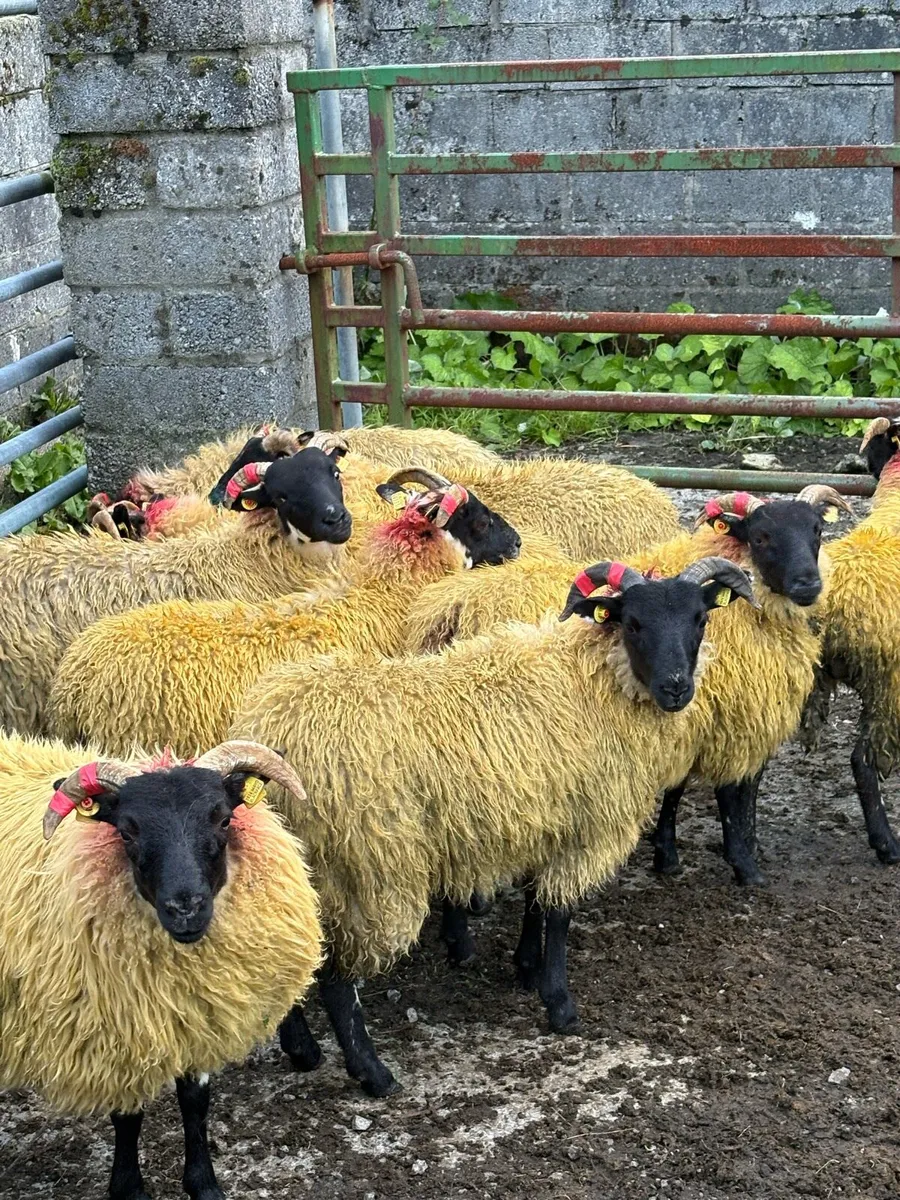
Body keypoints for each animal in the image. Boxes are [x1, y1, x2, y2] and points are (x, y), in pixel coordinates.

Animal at [0, 735, 321, 1200]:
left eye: (224, 820)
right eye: (126, 831)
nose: (185, 908)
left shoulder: (199, 1018)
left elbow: (195, 1103)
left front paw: (203, 1184)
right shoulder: (116, 1035)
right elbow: (127, 1117)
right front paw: (129, 1188)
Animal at [226, 555, 756, 1096]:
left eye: (700, 619)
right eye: (632, 623)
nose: (676, 688)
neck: (596, 682)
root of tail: (274, 729)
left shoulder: (544, 819)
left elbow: (534, 900)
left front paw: (526, 966)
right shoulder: (583, 828)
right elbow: (559, 914)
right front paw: (559, 1004)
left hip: (302, 862)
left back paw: (302, 1050)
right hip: (372, 868)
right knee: (336, 979)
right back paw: (373, 1074)